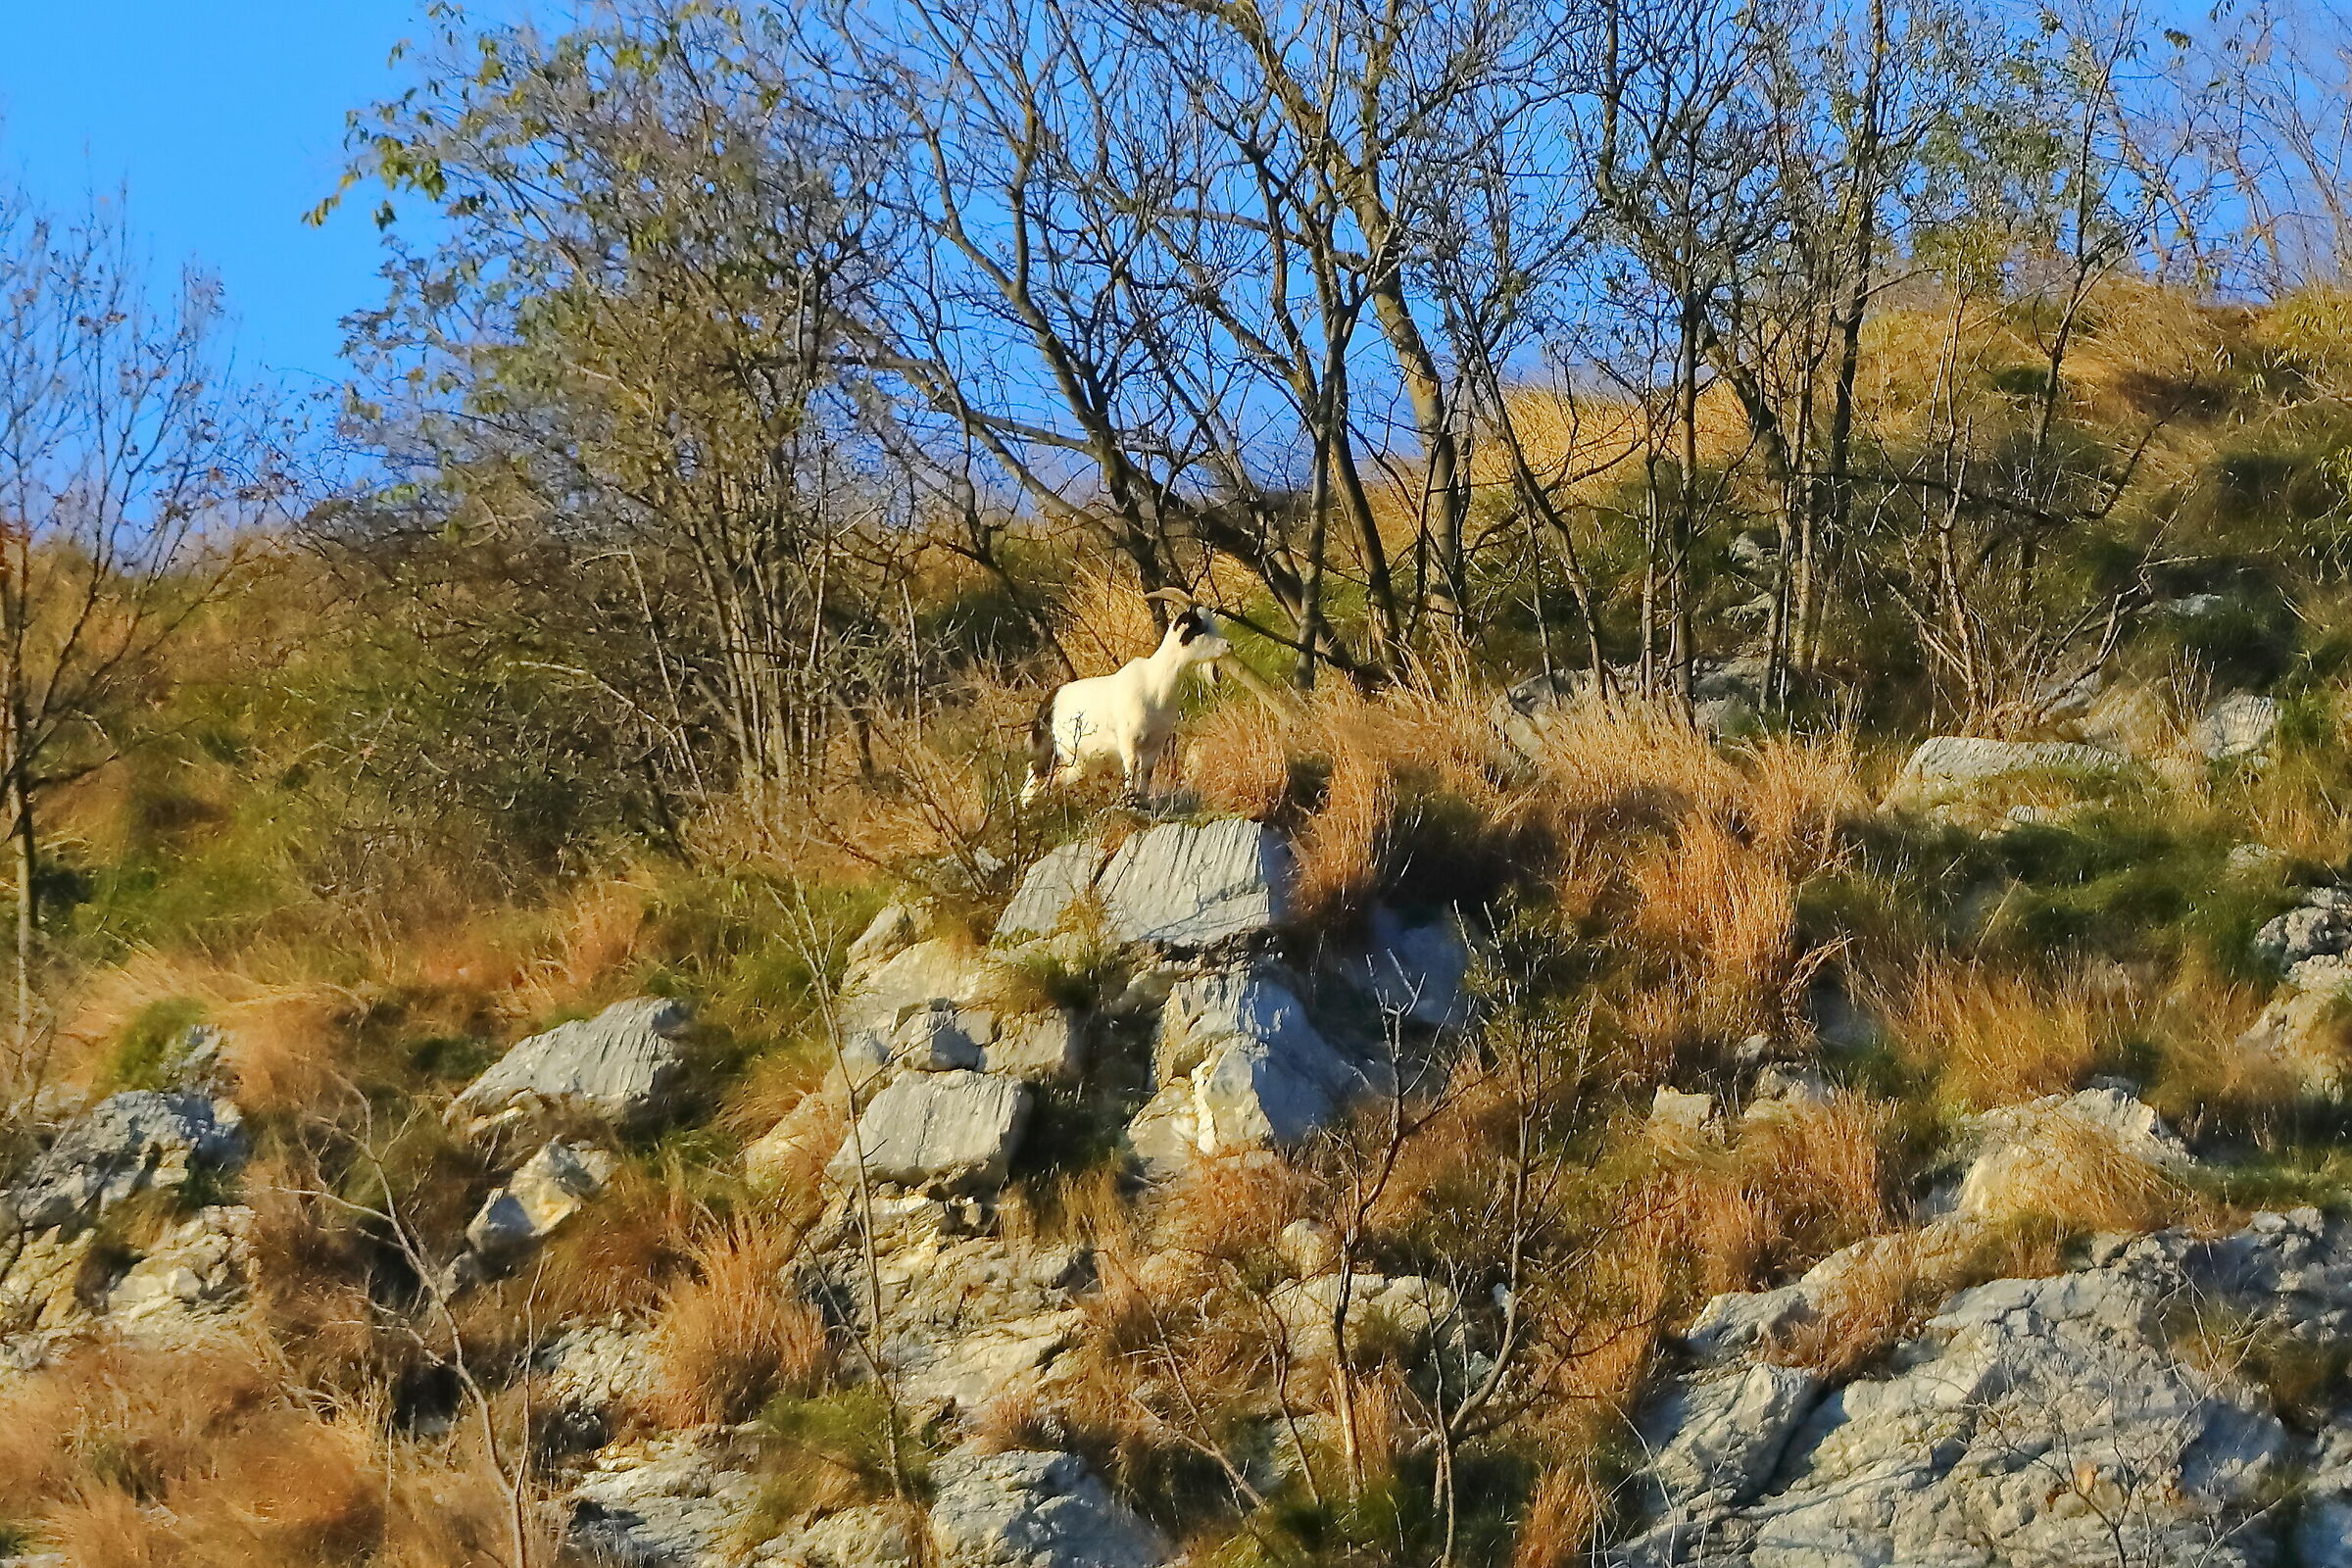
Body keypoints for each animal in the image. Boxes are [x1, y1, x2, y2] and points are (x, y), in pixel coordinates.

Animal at [1022, 588, 1233, 805]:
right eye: (1200, 628)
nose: (1228, 645)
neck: (1154, 684)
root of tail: (1047, 704)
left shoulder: (1155, 742)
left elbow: (1147, 773)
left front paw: (1142, 800)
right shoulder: (1128, 740)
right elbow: (1131, 769)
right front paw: (1129, 800)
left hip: (1075, 761)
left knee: (1055, 779)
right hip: (1049, 751)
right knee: (1031, 779)